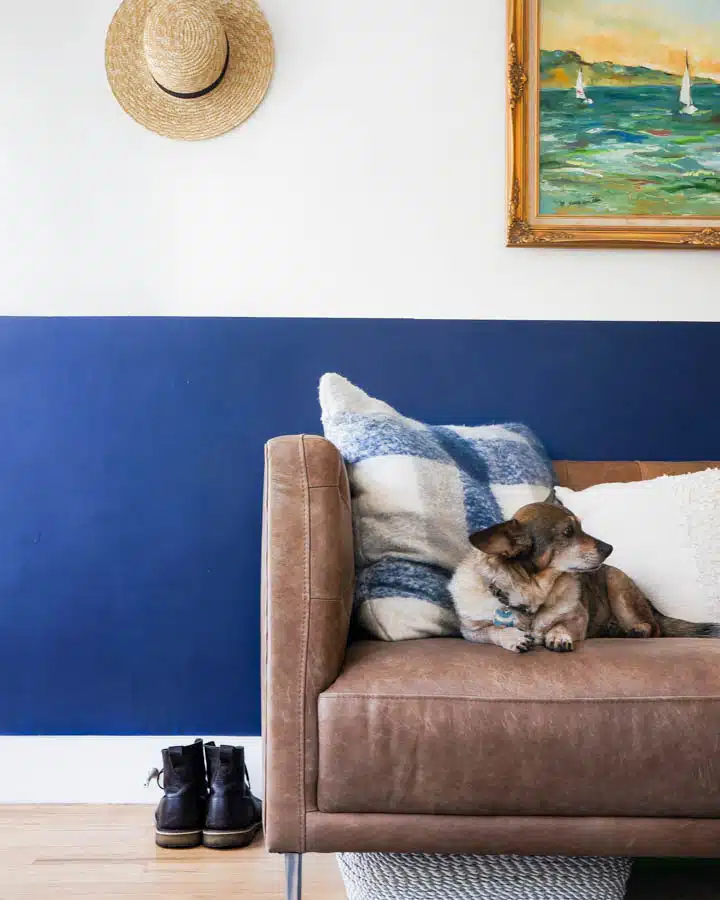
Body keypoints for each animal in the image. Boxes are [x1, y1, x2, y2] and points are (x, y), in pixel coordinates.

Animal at [450, 500, 720, 652]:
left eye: (581, 527)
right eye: (568, 532)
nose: (610, 548)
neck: (533, 594)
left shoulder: (579, 618)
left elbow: (561, 624)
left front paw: (558, 636)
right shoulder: (471, 632)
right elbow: (494, 629)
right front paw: (514, 637)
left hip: (619, 589)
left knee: (655, 629)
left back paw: (635, 630)